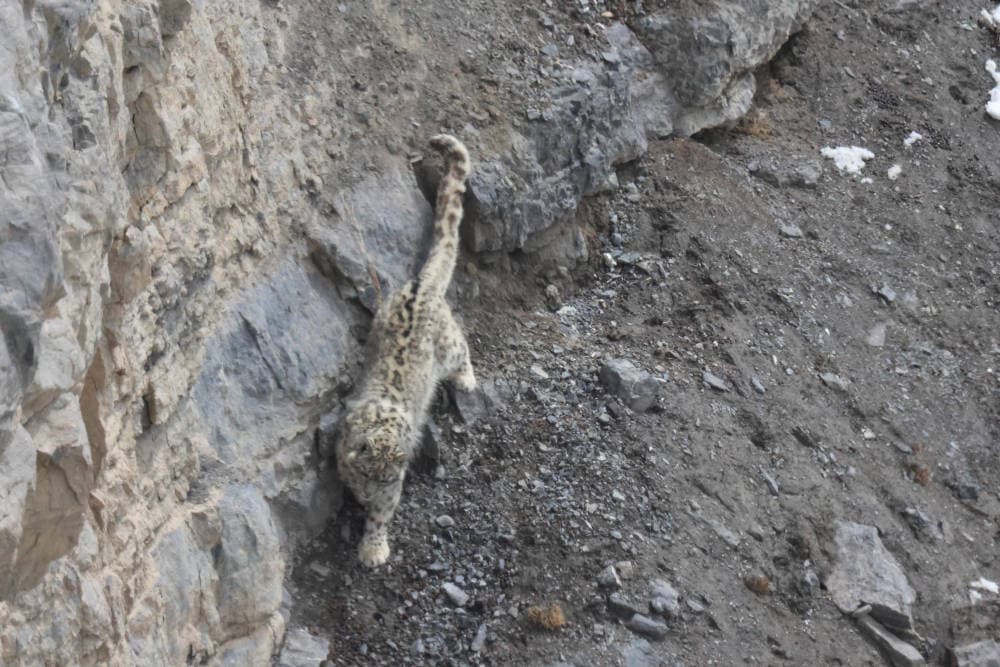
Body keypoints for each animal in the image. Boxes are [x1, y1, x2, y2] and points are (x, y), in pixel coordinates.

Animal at [336, 134, 476, 567]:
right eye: (368, 473)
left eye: (388, 479)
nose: (370, 495)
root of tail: (421, 284)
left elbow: (382, 518)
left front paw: (373, 546)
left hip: (447, 346)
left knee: (463, 347)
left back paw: (466, 380)